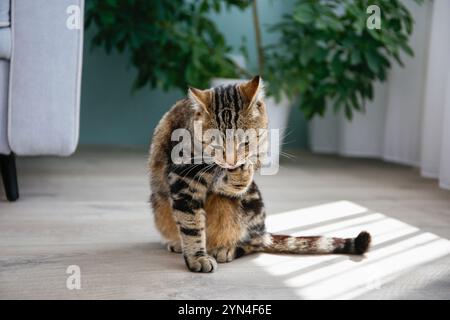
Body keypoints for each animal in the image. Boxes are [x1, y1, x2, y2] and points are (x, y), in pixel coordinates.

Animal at [149, 75, 370, 272]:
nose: (232, 161)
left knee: (253, 242)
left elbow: (232, 183)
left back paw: (227, 248)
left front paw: (240, 173)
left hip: (251, 205)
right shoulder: (183, 178)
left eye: (245, 142)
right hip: (160, 207)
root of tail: (263, 231)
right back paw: (179, 243)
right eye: (215, 143)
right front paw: (197, 257)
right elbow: (191, 224)